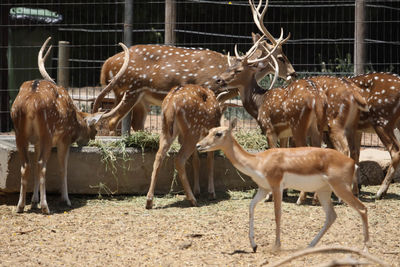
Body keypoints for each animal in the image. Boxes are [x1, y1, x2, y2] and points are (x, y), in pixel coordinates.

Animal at [9, 37, 128, 215]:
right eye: (95, 128)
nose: (89, 140)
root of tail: (30, 103)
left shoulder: (36, 141)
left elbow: (35, 166)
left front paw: (34, 199)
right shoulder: (64, 138)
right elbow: (63, 167)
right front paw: (65, 199)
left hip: (19, 133)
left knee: (27, 166)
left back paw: (20, 206)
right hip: (47, 132)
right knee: (42, 165)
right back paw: (45, 207)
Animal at [92, 0, 296, 134]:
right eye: (281, 57)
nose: (294, 73)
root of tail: (106, 66)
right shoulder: (208, 88)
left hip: (140, 98)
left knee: (132, 124)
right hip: (129, 89)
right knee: (111, 121)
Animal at [196, 119, 368, 253]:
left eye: (218, 133)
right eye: (209, 131)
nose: (198, 145)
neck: (258, 161)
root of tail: (352, 163)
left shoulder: (276, 186)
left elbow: (277, 214)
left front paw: (276, 246)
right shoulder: (263, 188)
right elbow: (251, 207)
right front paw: (254, 245)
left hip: (341, 188)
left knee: (362, 208)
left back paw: (365, 248)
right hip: (324, 191)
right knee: (331, 215)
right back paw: (309, 246)